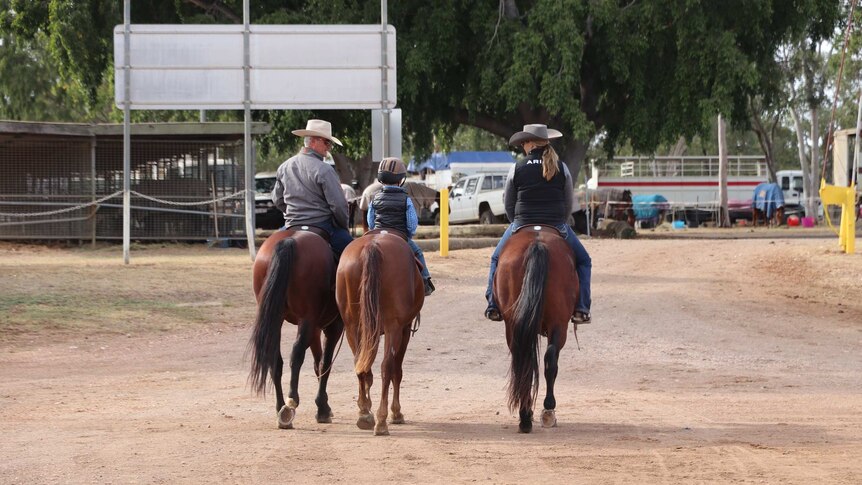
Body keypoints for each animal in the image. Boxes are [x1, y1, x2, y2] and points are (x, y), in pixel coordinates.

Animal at [248, 227, 342, 428]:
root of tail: (289, 240)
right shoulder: (332, 327)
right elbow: (325, 364)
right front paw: (323, 409)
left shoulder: (314, 329)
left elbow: (317, 364)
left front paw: (323, 406)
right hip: (307, 319)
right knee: (297, 353)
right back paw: (291, 400)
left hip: (278, 319)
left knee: (276, 360)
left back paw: (281, 409)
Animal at [336, 230, 424, 434]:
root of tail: (373, 245)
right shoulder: (404, 329)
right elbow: (397, 371)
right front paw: (396, 413)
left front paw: (366, 407)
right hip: (393, 328)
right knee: (387, 367)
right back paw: (382, 421)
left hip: (353, 326)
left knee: (359, 364)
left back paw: (364, 415)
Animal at [492, 225, 580, 432]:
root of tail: (537, 244)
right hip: (559, 324)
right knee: (550, 359)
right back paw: (547, 410)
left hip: (513, 324)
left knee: (523, 359)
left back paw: (525, 416)